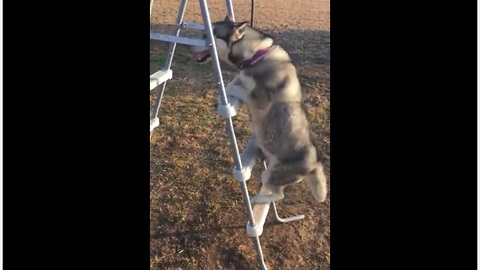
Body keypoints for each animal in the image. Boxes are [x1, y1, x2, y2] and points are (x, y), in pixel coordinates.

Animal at [191, 15, 326, 204]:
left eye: (207, 35)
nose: (190, 46)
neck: (256, 55)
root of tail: (314, 164)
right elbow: (237, 79)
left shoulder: (258, 99)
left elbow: (232, 86)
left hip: (270, 175)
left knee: (278, 195)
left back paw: (258, 198)